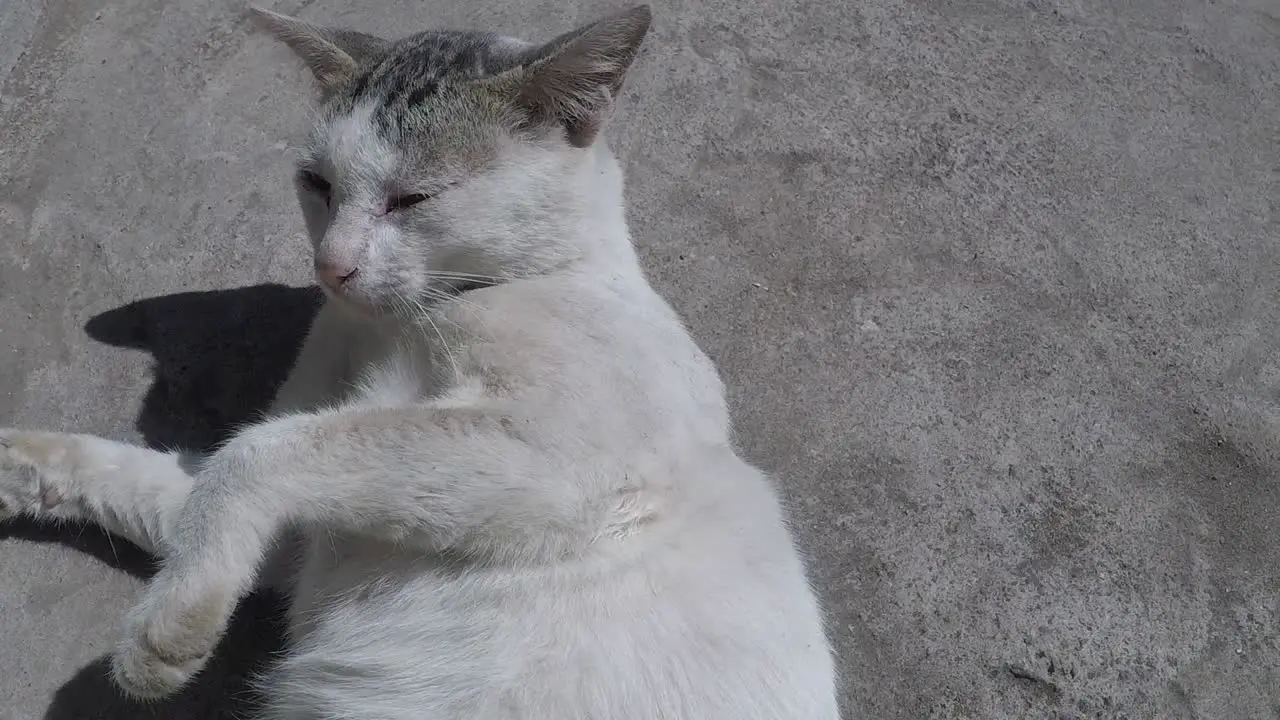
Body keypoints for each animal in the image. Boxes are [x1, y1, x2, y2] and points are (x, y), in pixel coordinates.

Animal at [0, 7, 839, 717]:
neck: (401, 323)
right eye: (317, 185)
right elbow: (174, 488)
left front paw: (162, 637)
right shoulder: (282, 537)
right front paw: (14, 466)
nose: (330, 266)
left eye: (412, 198)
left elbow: (263, 451)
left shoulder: (566, 455)